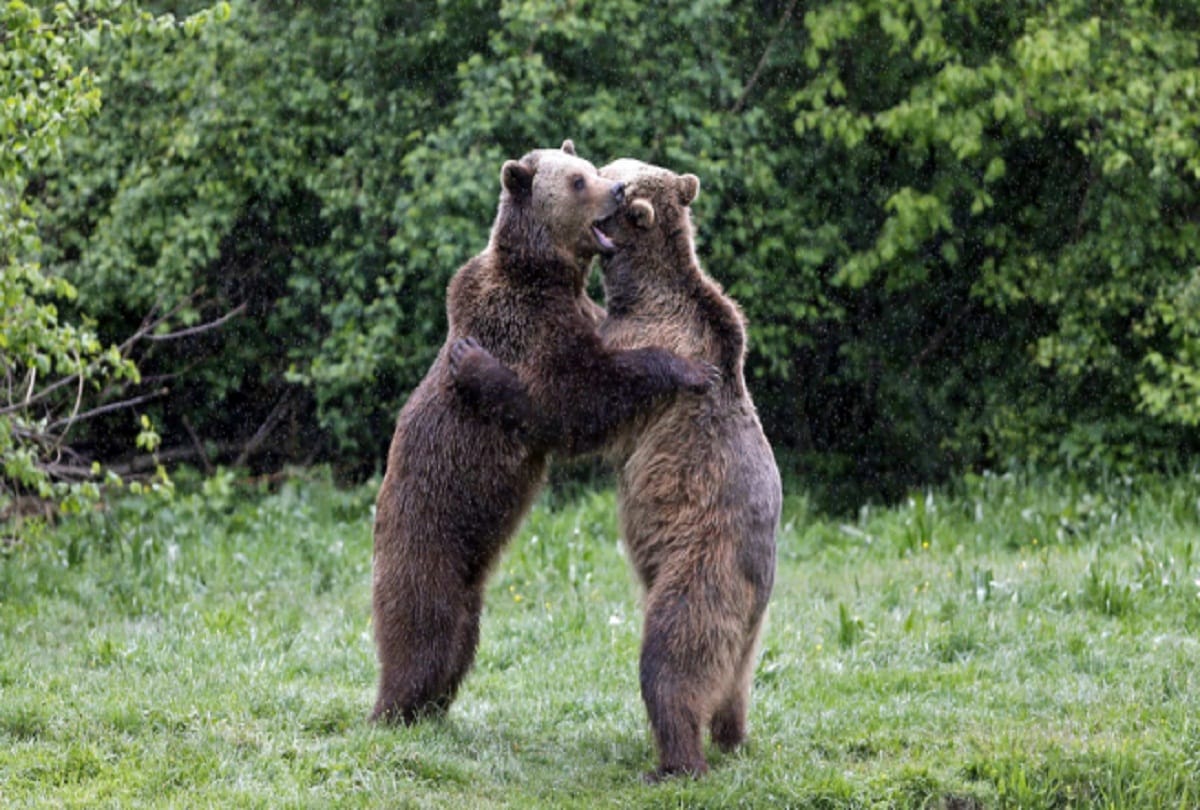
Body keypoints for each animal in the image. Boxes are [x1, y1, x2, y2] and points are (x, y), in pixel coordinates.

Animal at [370, 141, 715, 725]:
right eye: (578, 181)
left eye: (592, 168)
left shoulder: (578, 313)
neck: (546, 274)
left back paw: (433, 708)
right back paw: (392, 708)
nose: (617, 189)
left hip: (470, 583)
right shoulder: (526, 329)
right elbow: (573, 399)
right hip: (425, 540)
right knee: (420, 629)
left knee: (459, 641)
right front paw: (686, 367)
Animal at [448, 158, 781, 779]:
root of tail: (757, 589)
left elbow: (574, 403)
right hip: (750, 642)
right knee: (734, 692)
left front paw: (478, 364)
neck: (638, 289)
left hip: (699, 571)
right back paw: (732, 738)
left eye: (607, 175)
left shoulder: (640, 339)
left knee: (671, 661)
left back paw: (674, 762)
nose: (617, 186)